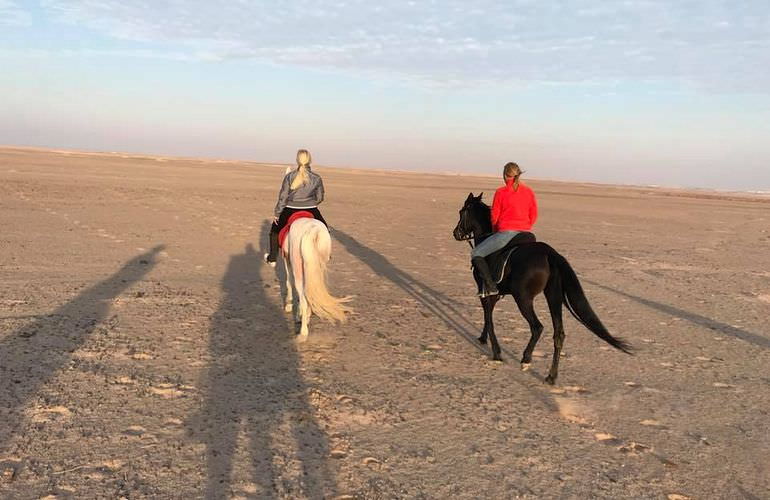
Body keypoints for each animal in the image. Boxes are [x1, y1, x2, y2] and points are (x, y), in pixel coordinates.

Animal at [452, 193, 628, 384]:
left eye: (462, 212)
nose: (456, 233)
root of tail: (550, 254)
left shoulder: (485, 291)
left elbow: (488, 318)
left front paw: (496, 352)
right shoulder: (495, 295)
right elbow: (488, 316)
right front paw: (483, 338)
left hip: (523, 298)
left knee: (537, 327)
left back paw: (526, 359)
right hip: (553, 296)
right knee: (559, 334)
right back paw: (551, 376)